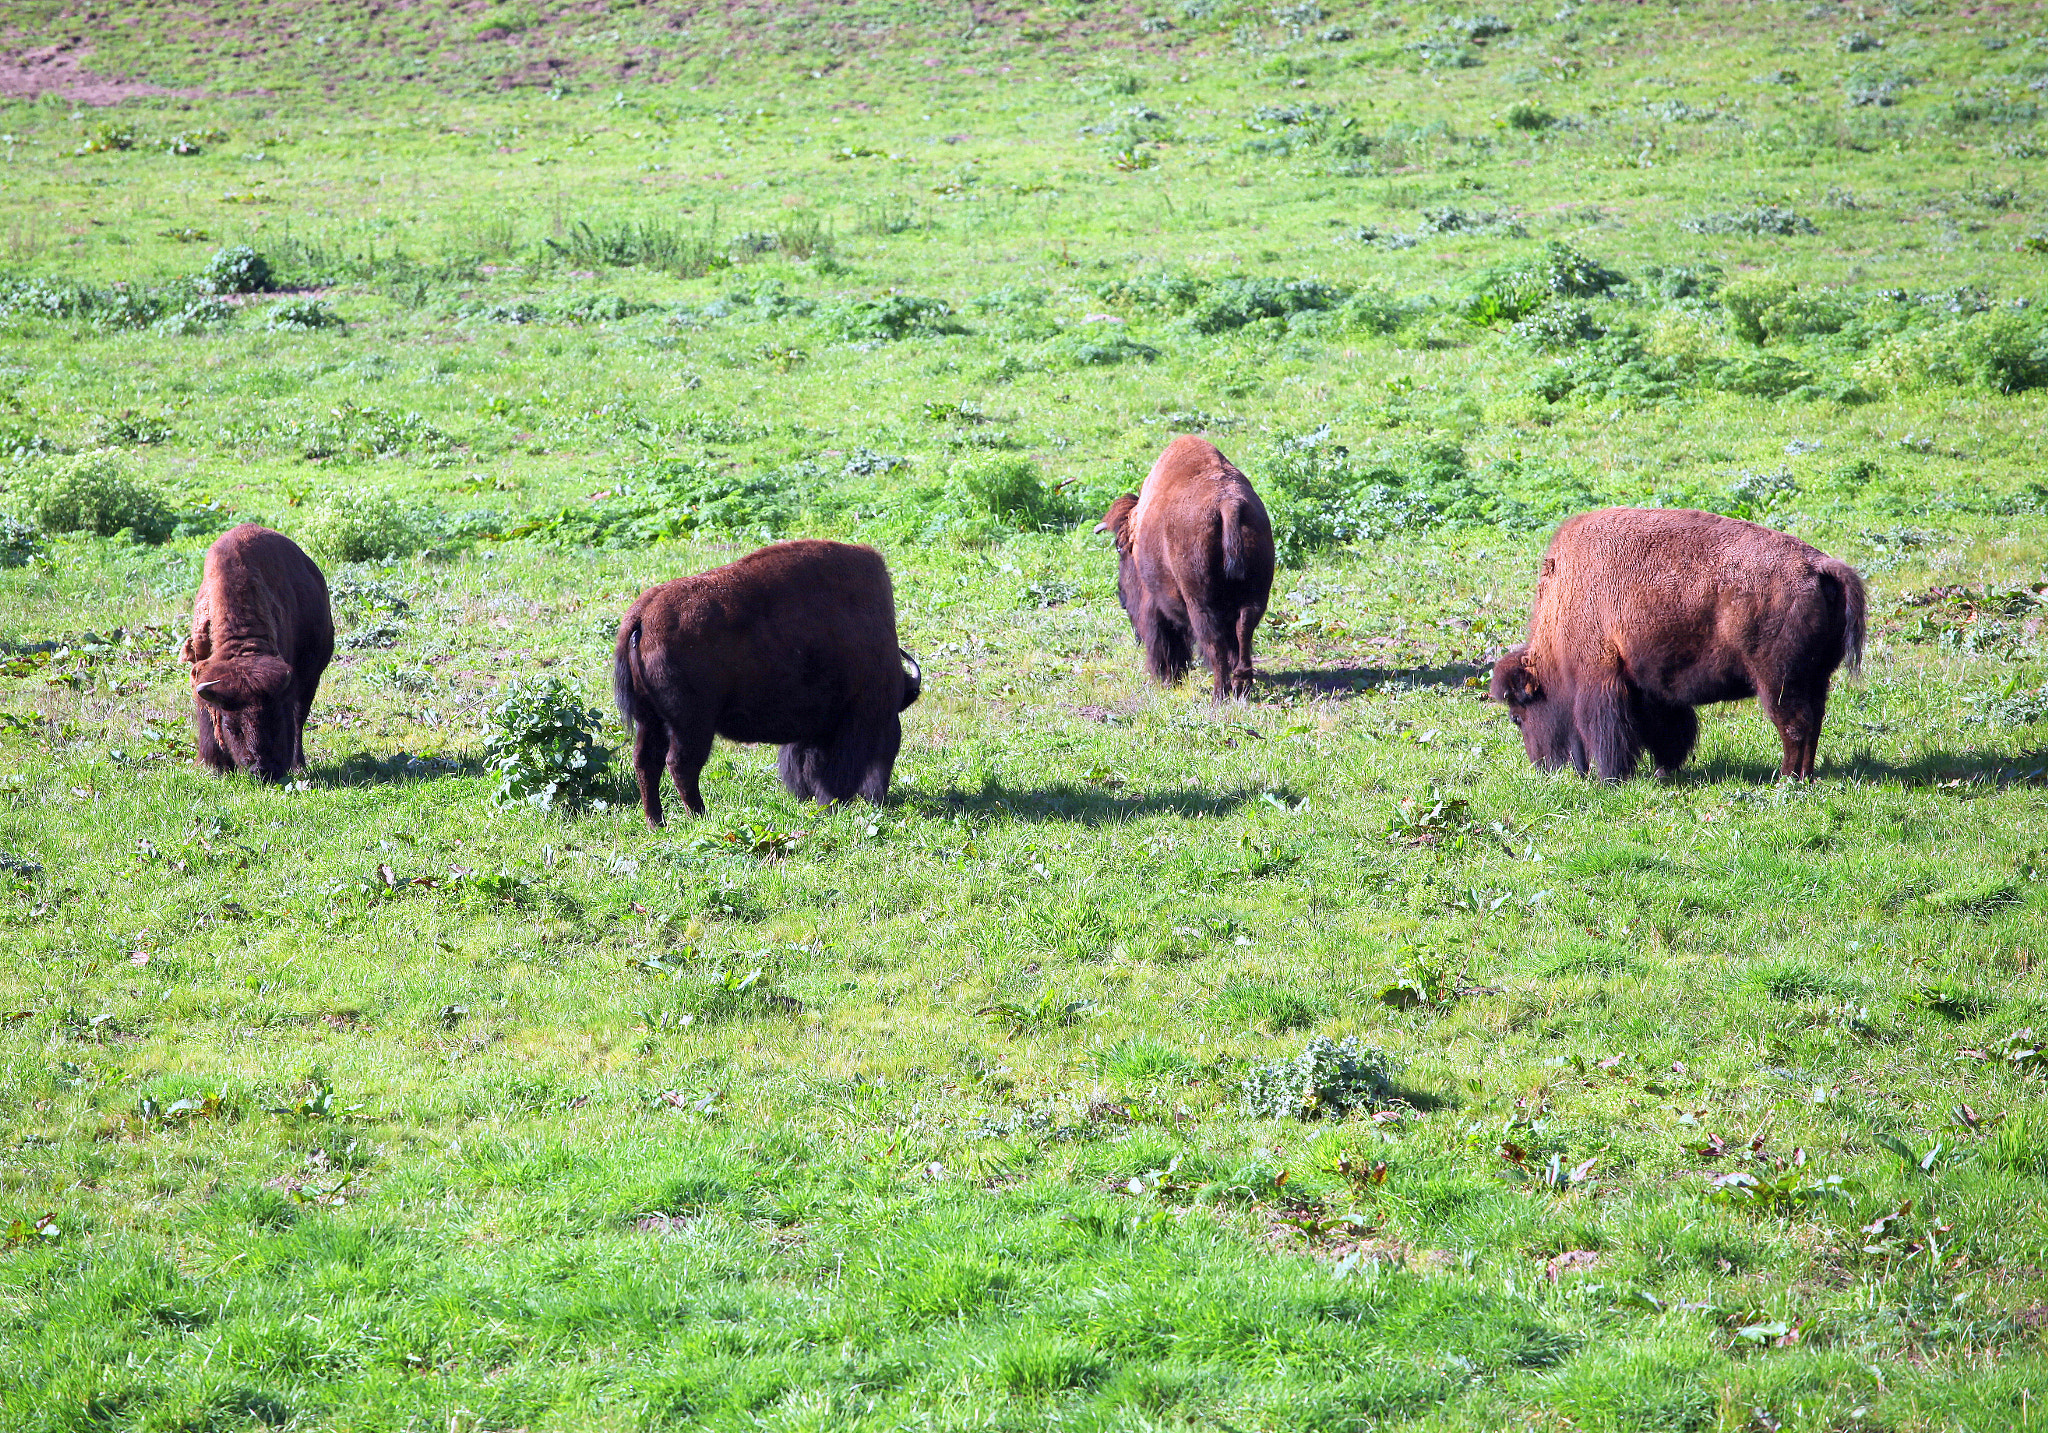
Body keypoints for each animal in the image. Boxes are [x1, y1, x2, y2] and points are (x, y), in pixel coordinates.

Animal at [180, 523, 334, 782]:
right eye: (231, 727)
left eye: (275, 718)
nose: (260, 770)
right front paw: (214, 767)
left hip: (311, 677)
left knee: (300, 719)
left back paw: (298, 765)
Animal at [613, 539, 921, 825]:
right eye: (889, 726)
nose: (879, 795)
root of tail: (643, 614)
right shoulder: (855, 717)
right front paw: (830, 803)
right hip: (691, 725)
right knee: (680, 765)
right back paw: (700, 815)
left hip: (650, 720)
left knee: (646, 762)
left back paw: (657, 822)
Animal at [1096, 435, 1275, 701]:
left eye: (1120, 549)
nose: (1123, 600)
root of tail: (1228, 504)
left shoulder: (1155, 604)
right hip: (1256, 594)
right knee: (1243, 630)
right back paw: (1241, 685)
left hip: (1199, 602)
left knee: (1214, 642)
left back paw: (1218, 694)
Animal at [1489, 507, 1866, 781]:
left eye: (1518, 717)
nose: (1541, 767)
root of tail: (1819, 566)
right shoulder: (1649, 687)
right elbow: (1669, 730)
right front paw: (1661, 771)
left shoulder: (1601, 680)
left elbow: (1610, 735)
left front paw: (1610, 779)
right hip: (1815, 680)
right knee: (1813, 723)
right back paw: (1803, 776)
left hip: (1778, 682)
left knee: (1795, 726)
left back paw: (1787, 779)